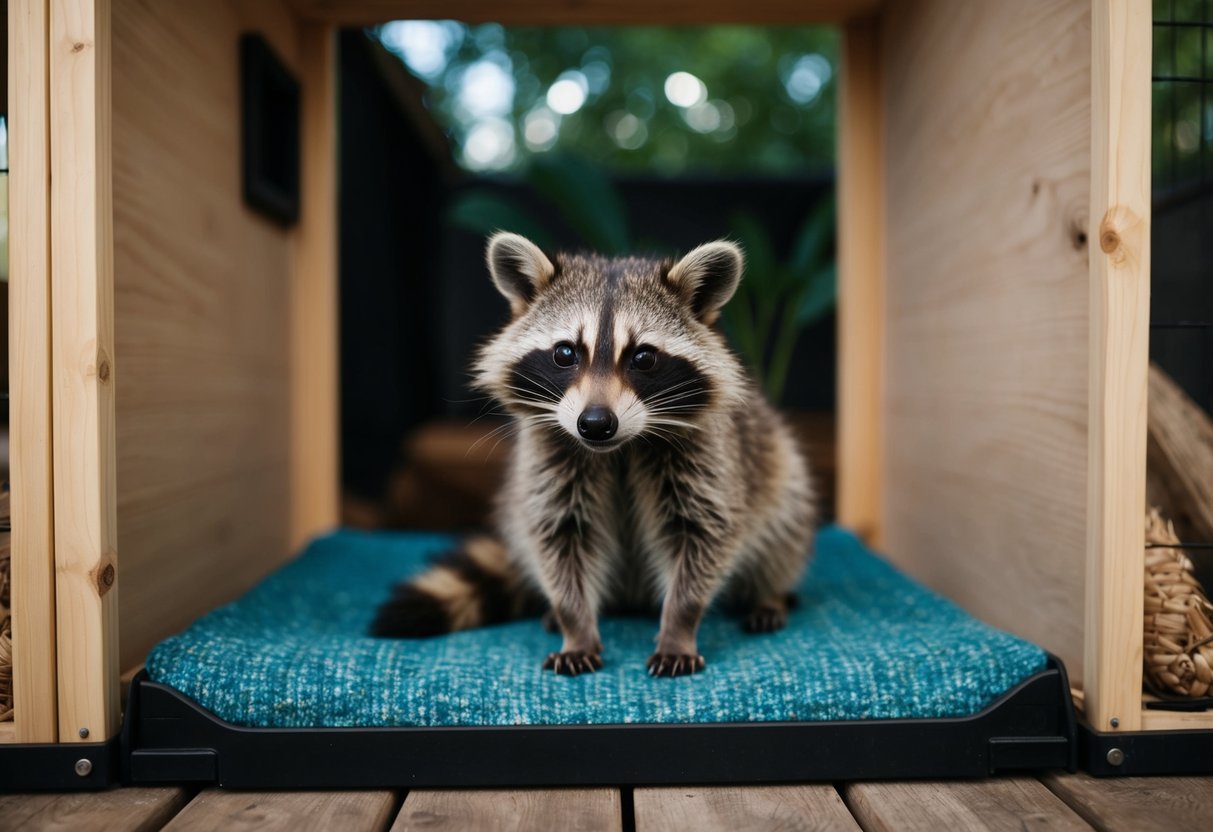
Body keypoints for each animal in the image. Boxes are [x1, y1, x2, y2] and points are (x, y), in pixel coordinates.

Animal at [372, 232, 815, 677]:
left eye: (643, 357)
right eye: (565, 353)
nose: (596, 423)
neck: (620, 449)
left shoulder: (708, 461)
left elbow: (703, 536)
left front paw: (679, 627)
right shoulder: (548, 463)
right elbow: (559, 540)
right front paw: (575, 625)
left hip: (783, 477)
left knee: (783, 533)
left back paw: (770, 594)